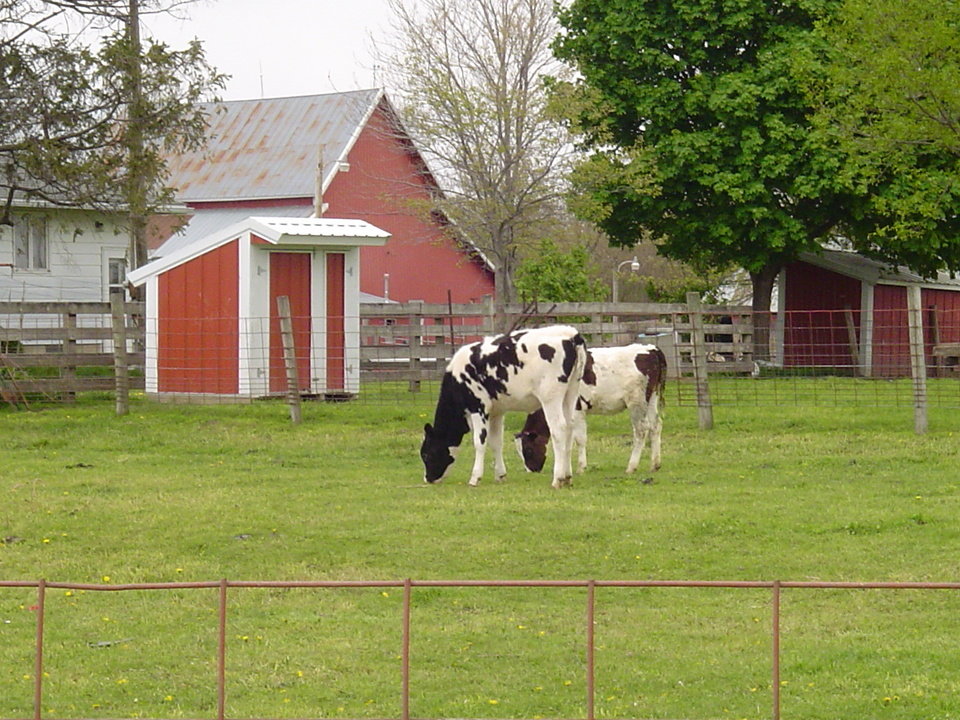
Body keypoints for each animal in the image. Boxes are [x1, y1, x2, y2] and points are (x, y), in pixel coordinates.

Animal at [420, 325, 588, 489]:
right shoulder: (497, 411)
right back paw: (567, 477)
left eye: (427, 454)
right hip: (570, 394)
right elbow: (496, 442)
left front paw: (475, 478)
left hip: (550, 397)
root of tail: (570, 334)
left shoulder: (478, 407)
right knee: (570, 428)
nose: (428, 478)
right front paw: (500, 475)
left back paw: (557, 479)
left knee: (559, 429)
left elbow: (479, 442)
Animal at [515, 344, 667, 475]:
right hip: (652, 397)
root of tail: (650, 348)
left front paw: (580, 468)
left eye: (528, 449)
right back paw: (655, 465)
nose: (531, 470)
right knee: (656, 425)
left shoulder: (576, 409)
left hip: (636, 401)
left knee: (641, 430)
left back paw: (631, 467)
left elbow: (580, 439)